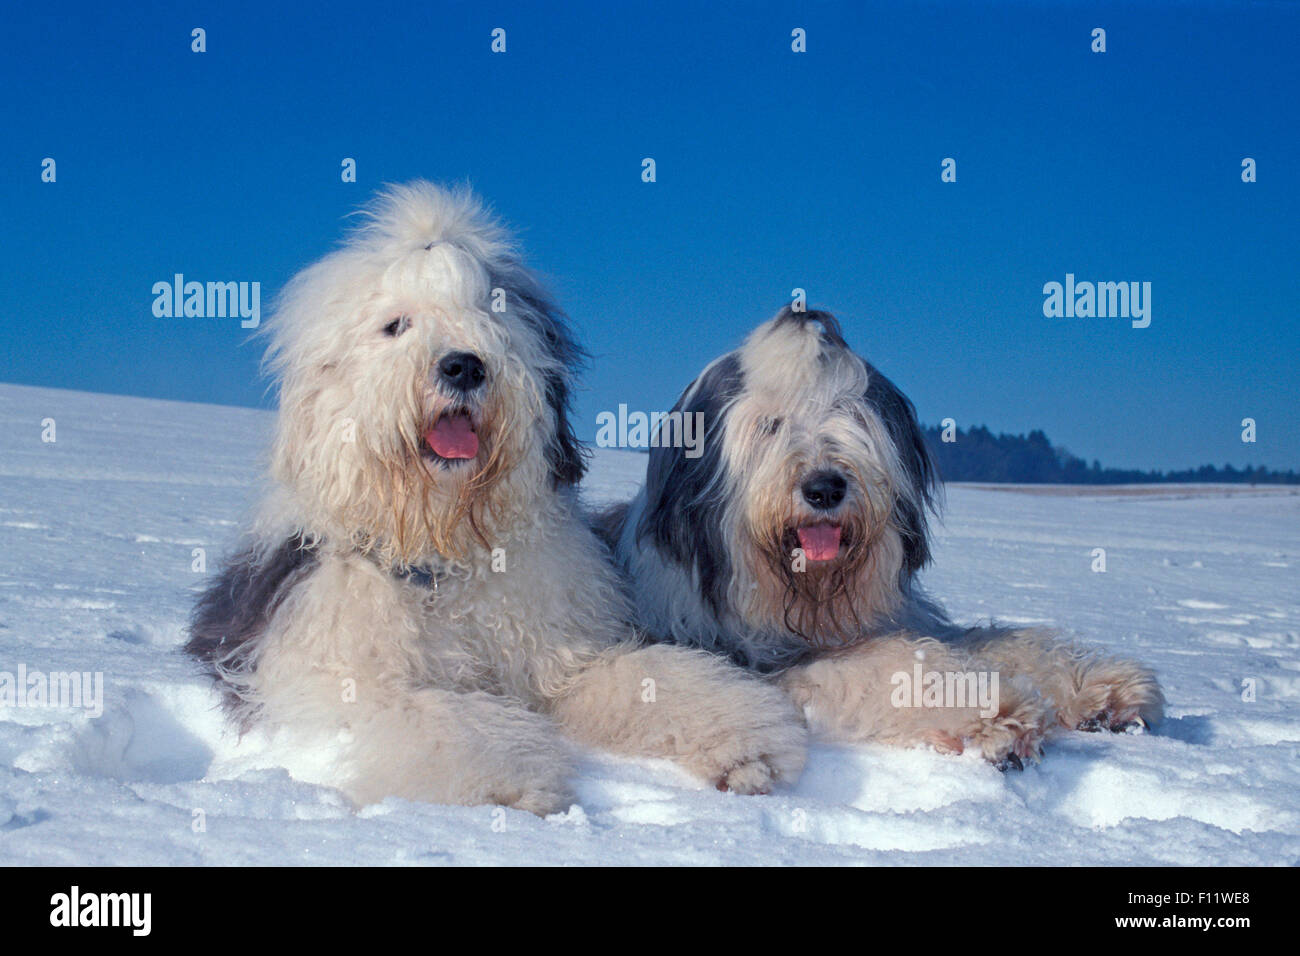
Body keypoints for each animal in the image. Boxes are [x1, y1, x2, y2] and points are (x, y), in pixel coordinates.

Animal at [188, 183, 806, 811]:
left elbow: (647, 679)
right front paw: (510, 782)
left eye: (490, 316)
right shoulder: (348, 683)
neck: (442, 552)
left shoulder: (560, 655)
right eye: (395, 326)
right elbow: (440, 719)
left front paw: (744, 746)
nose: (463, 365)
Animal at [600, 308, 1170, 770]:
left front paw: (1101, 688)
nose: (825, 487)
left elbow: (992, 642)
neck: (803, 600)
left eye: (850, 414)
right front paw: (995, 713)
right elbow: (885, 665)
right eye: (770, 424)